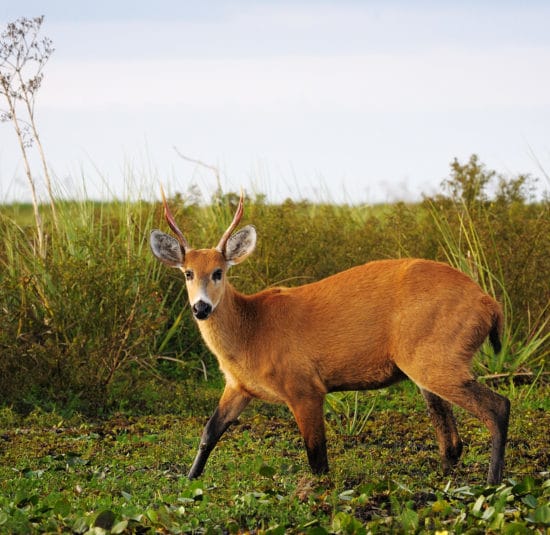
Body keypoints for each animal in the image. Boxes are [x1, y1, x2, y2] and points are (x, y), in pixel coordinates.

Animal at [151, 192, 512, 486]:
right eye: (187, 273)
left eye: (219, 272)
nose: (201, 307)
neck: (251, 329)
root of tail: (489, 303)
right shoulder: (239, 387)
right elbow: (209, 431)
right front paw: (188, 480)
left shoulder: (305, 388)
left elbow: (318, 458)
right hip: (426, 367)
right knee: (452, 439)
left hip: (437, 362)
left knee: (498, 407)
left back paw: (492, 482)